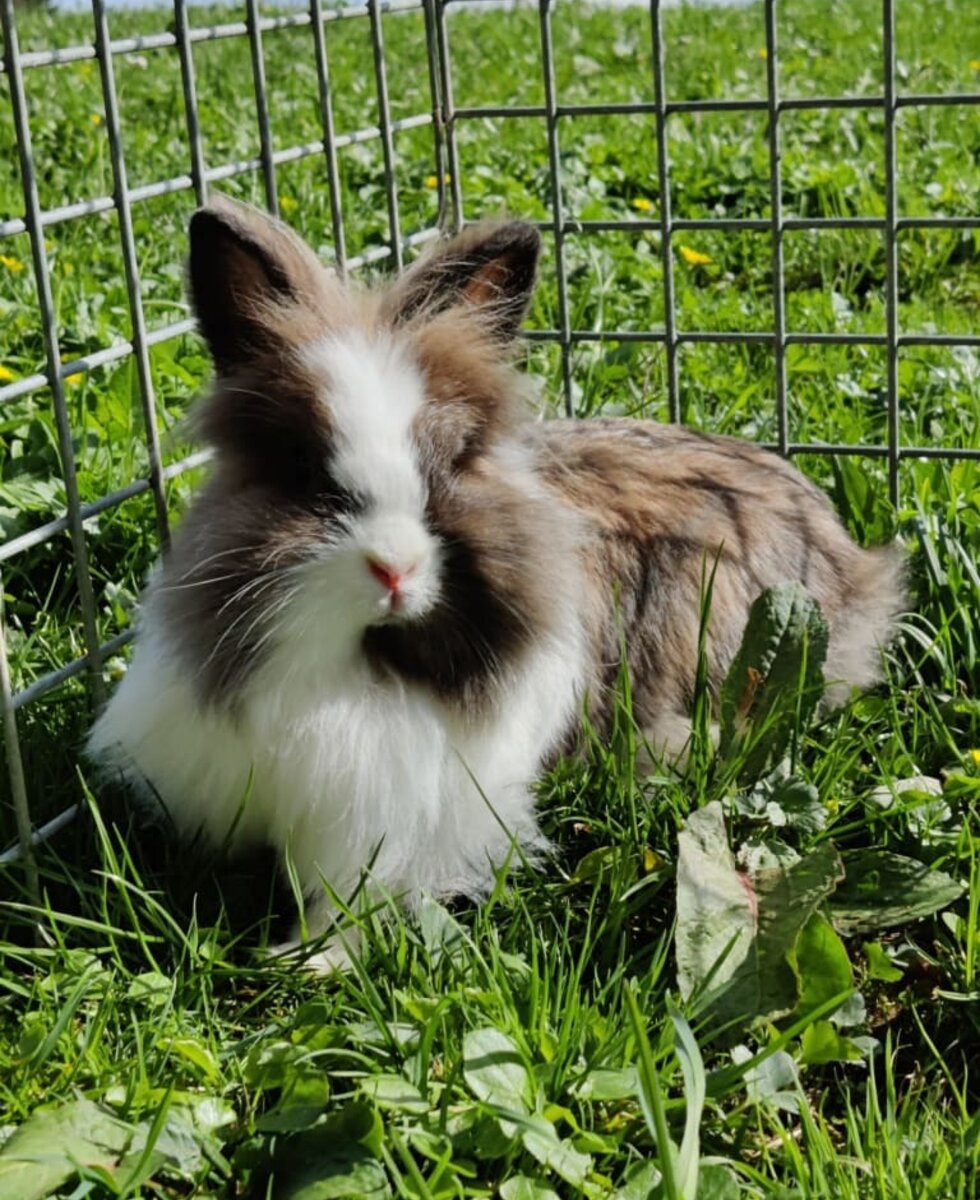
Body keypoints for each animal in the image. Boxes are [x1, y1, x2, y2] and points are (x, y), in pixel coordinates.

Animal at [89, 194, 902, 964]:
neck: (366, 663)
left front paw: (310, 960)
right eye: (305, 472)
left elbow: (353, 898)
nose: (395, 568)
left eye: (451, 465)